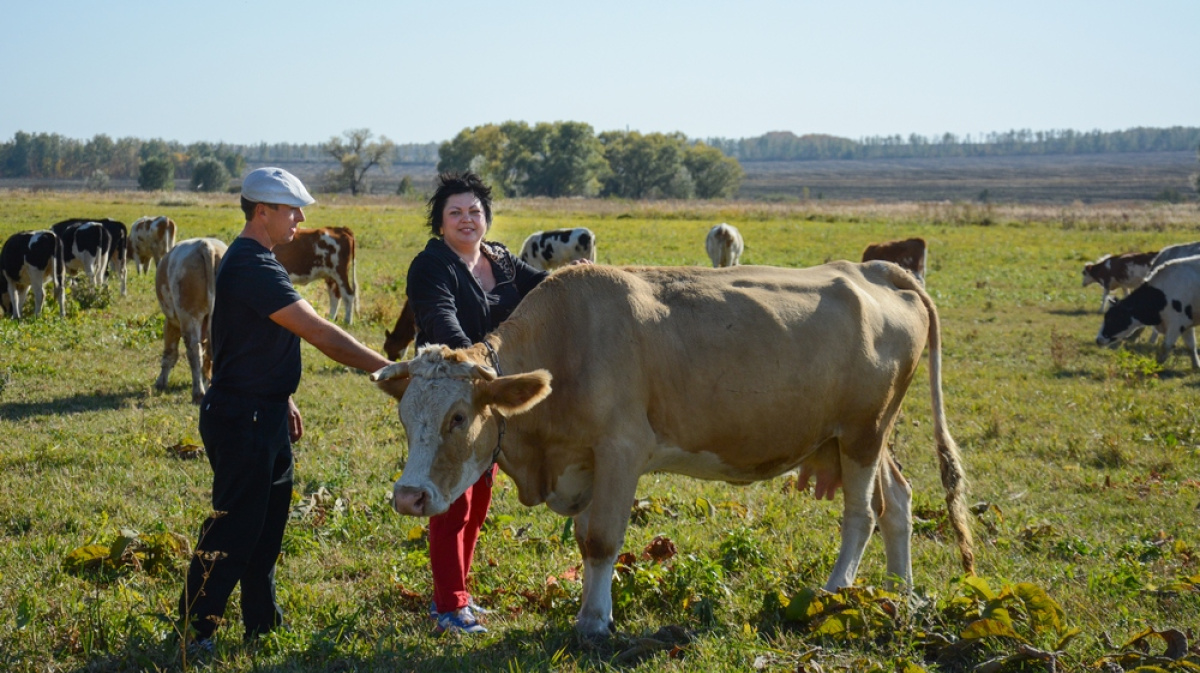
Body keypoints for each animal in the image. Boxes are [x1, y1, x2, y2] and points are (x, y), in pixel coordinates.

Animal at [154, 237, 226, 400]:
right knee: (209, 350)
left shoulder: (171, 322)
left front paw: (160, 382)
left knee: (194, 351)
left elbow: (170, 352)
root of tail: (205, 245)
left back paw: (198, 392)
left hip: (188, 315)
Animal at [372, 260, 974, 638]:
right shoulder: (588, 463)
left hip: (862, 432)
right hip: (863, 435)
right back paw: (900, 591)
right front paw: (593, 609)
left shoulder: (621, 450)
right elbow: (587, 541)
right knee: (897, 502)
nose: (407, 496)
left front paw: (593, 622)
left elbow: (601, 540)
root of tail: (873, 270)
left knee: (861, 513)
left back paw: (835, 590)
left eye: (458, 417)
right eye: (405, 417)